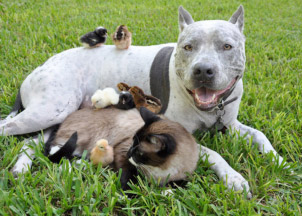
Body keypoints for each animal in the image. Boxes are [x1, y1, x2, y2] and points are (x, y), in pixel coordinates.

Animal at [44, 107, 198, 188]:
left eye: (138, 152)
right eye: (132, 143)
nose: (129, 153)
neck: (158, 170)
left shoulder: (182, 177)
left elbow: (180, 184)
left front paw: (168, 190)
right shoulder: (121, 152)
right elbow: (126, 176)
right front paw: (130, 194)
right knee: (55, 151)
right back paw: (72, 167)